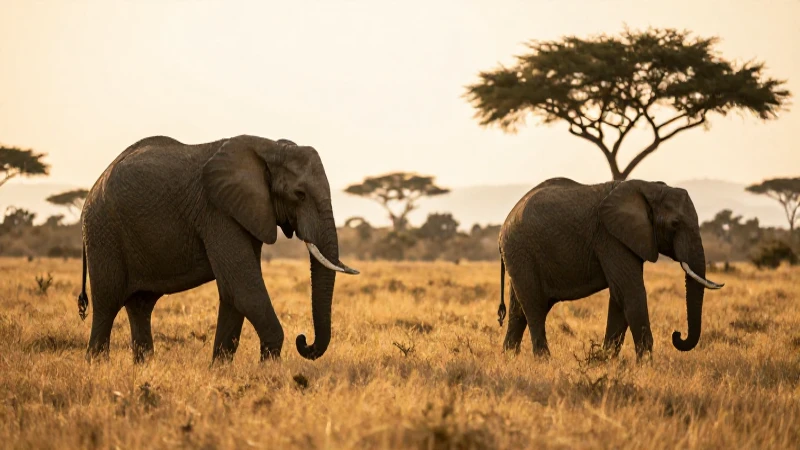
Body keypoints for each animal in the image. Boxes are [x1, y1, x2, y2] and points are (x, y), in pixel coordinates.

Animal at [76, 134, 359, 364]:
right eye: (299, 194)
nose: (304, 340)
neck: (269, 148)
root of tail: (92, 191)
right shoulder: (217, 212)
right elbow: (243, 289)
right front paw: (268, 370)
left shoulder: (245, 212)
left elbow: (232, 293)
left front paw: (219, 371)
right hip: (103, 232)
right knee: (107, 303)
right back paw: (98, 367)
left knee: (140, 305)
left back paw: (144, 368)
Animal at [495, 177, 724, 359]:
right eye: (675, 224)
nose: (677, 335)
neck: (649, 187)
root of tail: (504, 224)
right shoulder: (610, 237)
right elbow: (630, 292)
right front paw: (645, 365)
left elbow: (619, 296)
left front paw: (604, 361)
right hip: (521, 251)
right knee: (534, 307)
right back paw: (544, 361)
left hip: (519, 255)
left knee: (518, 310)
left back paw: (509, 359)